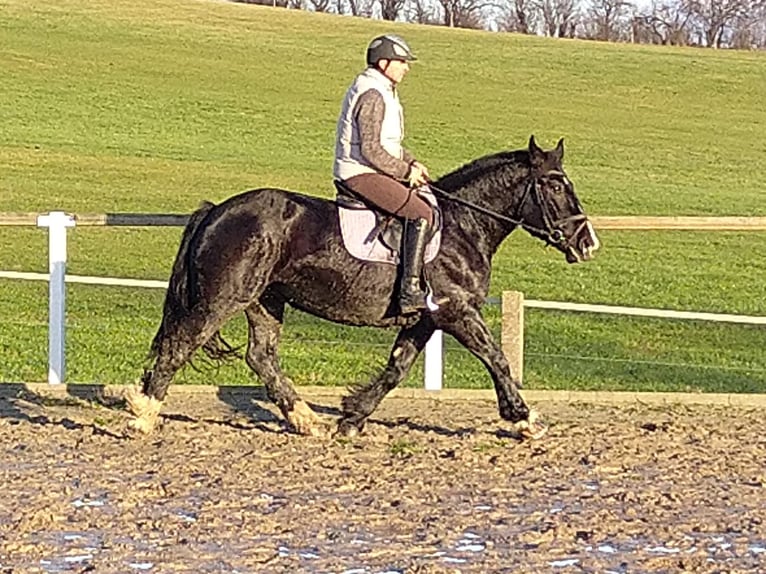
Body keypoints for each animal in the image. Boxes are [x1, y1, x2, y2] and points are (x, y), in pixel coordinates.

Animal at [127, 136, 600, 440]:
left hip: (266, 301)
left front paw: (351, 417)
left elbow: (396, 368)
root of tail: (217, 210)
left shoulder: (424, 319)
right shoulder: (457, 311)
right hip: (224, 298)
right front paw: (524, 419)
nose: (587, 242)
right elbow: (496, 358)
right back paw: (144, 414)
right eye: (555, 184)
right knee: (179, 345)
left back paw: (306, 420)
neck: (463, 226)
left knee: (261, 356)